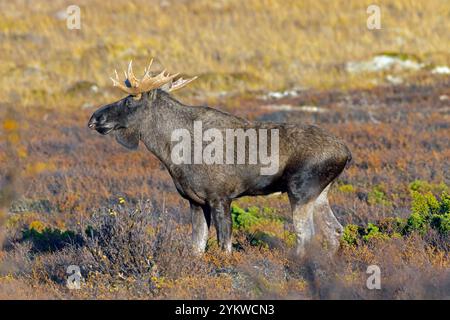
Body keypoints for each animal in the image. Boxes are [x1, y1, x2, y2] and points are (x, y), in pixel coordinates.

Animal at [86, 58, 350, 256]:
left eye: (130, 100)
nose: (94, 118)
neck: (170, 151)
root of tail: (346, 153)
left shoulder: (220, 197)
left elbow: (225, 245)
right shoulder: (195, 200)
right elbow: (197, 246)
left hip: (301, 190)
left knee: (306, 235)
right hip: (320, 194)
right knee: (335, 230)